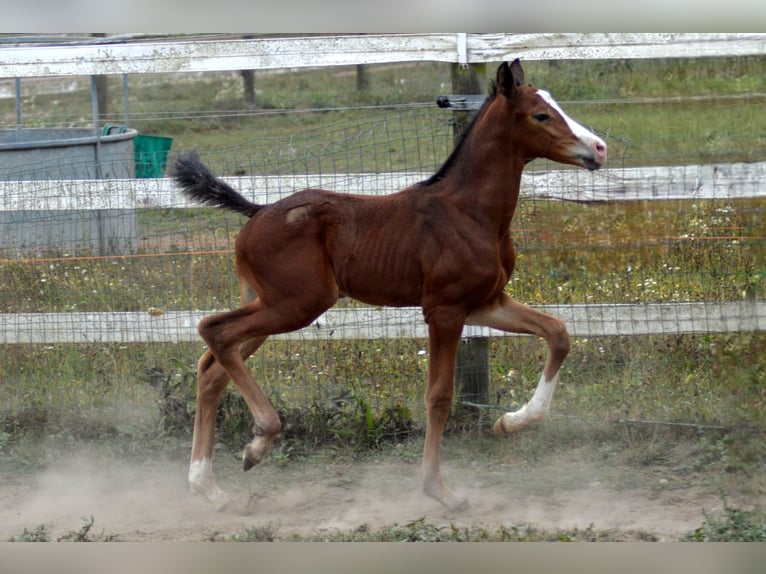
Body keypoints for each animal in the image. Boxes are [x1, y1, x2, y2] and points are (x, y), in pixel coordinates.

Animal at [172, 59, 608, 512]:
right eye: (540, 115)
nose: (598, 149)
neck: (469, 212)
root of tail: (255, 212)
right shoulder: (445, 310)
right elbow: (439, 396)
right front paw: (440, 490)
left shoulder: (488, 302)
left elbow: (558, 333)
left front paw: (510, 421)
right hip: (296, 305)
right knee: (213, 329)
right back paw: (259, 440)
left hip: (271, 306)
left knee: (212, 366)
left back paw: (211, 486)